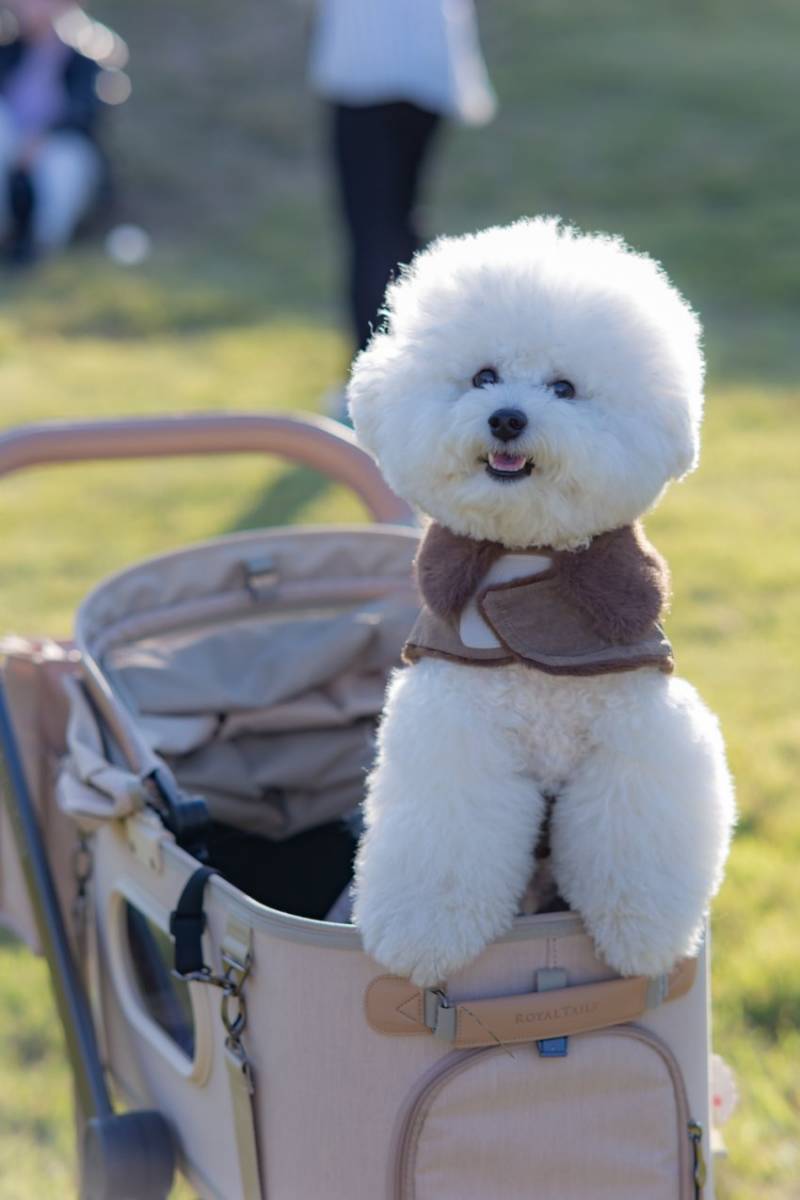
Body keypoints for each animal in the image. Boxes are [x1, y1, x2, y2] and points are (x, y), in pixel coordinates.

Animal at [347, 220, 734, 988]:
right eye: (483, 377)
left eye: (564, 388)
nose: (506, 418)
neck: (527, 556)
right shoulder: (457, 731)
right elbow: (448, 837)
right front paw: (424, 937)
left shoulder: (636, 732)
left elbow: (634, 835)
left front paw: (643, 936)